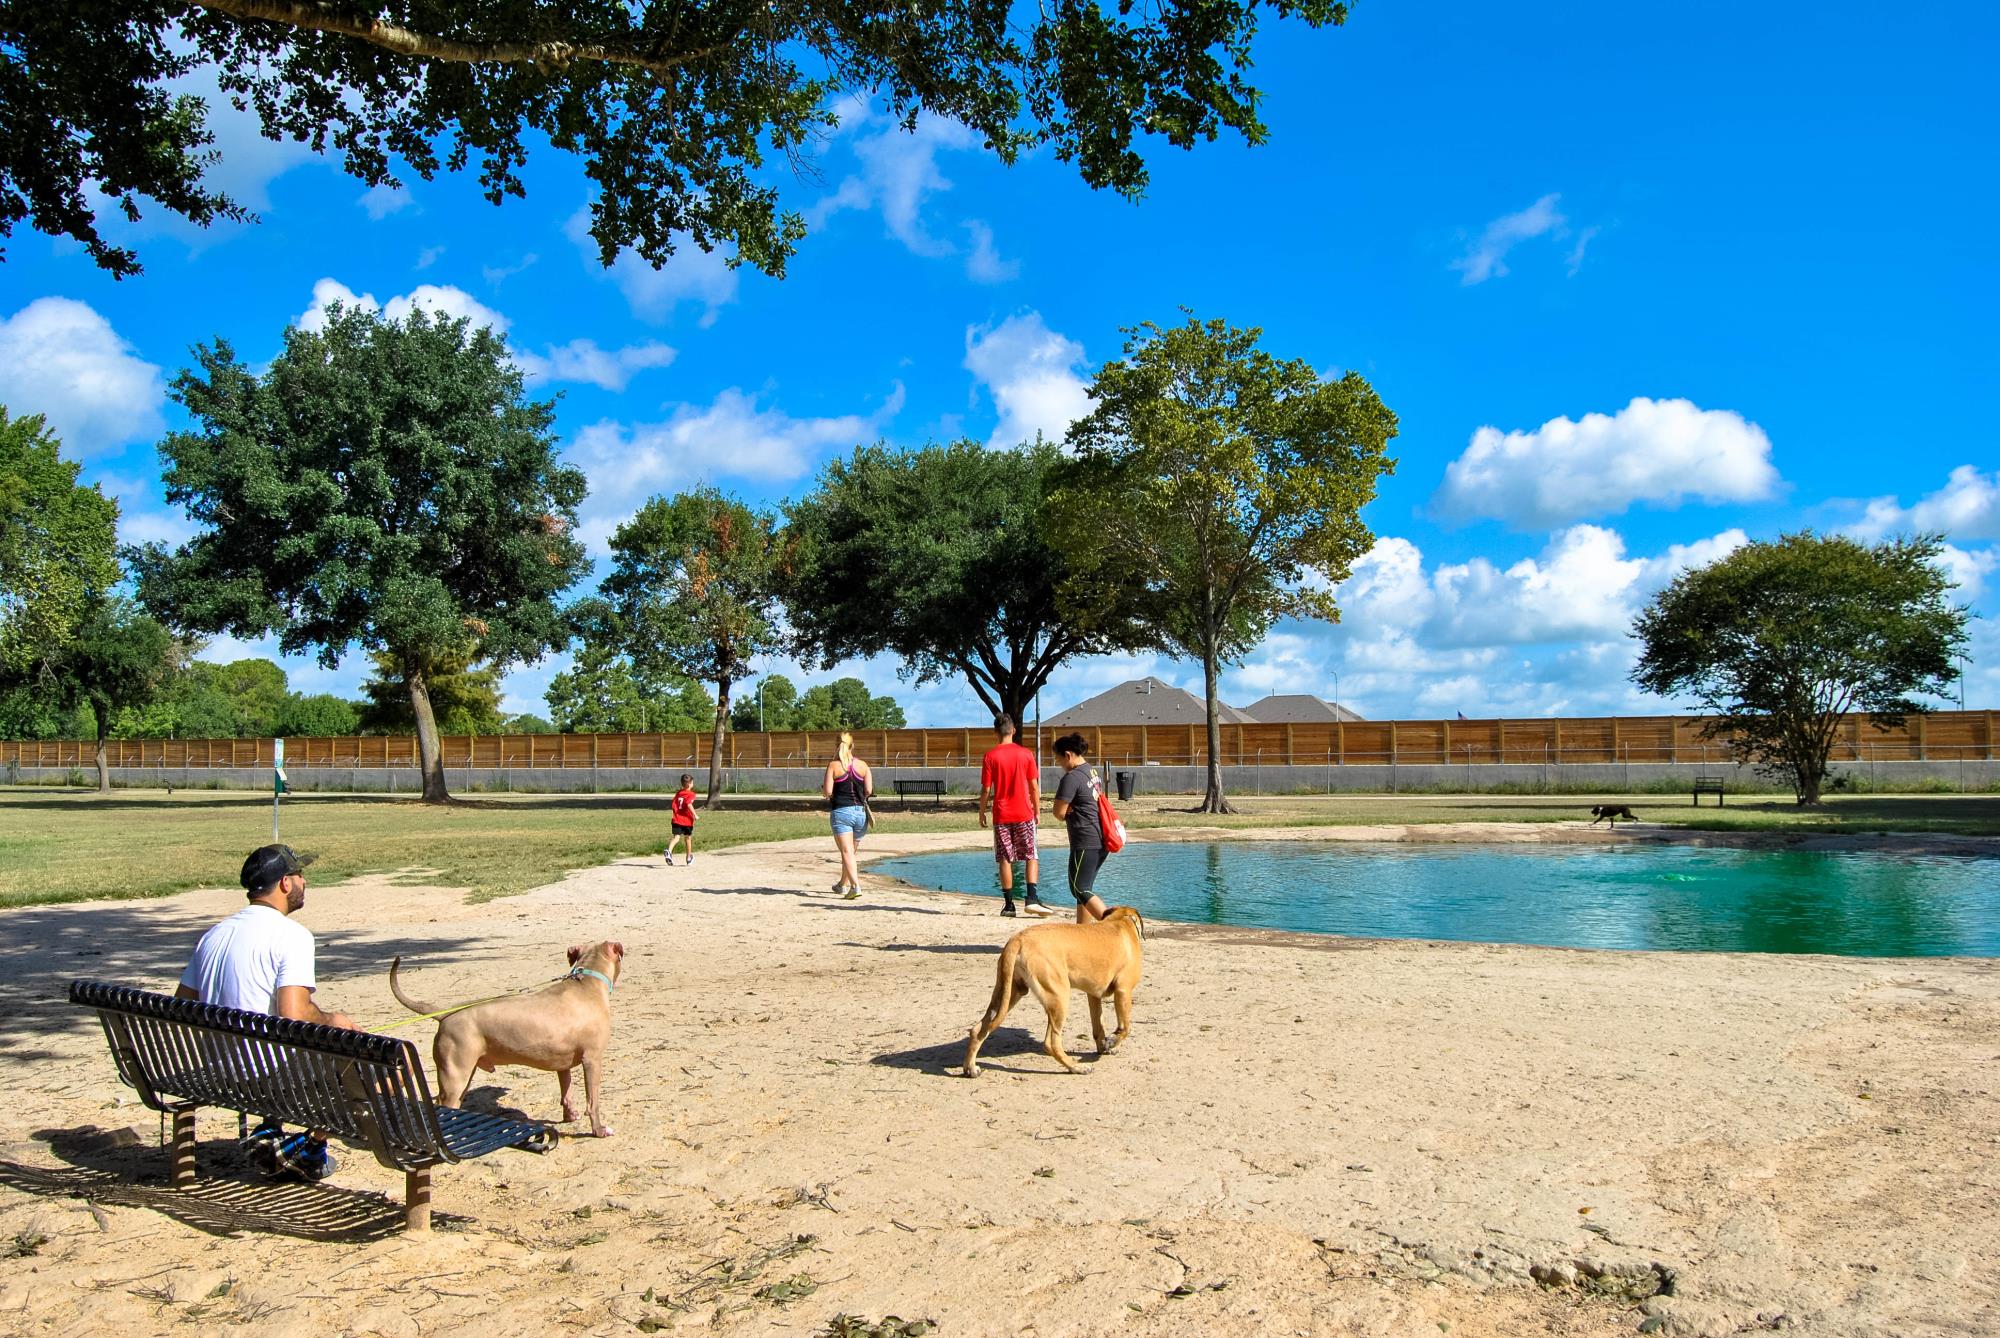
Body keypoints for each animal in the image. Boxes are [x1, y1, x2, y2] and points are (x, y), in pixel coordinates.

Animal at [390, 940, 624, 1136]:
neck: (586, 985)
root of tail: (446, 1014)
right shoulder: (592, 1060)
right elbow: (592, 1102)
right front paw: (598, 1130)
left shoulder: (562, 1063)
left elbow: (566, 1092)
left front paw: (570, 1116)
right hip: (455, 1074)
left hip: (464, 1070)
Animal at [964, 896, 1152, 1072]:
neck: (1120, 920)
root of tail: (1017, 940)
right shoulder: (1123, 990)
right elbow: (1125, 1027)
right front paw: (1112, 1041)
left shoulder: (1093, 995)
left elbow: (1099, 1027)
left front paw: (1104, 1046)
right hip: (1059, 997)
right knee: (1051, 1043)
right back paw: (1076, 1067)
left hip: (1008, 994)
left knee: (978, 1029)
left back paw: (970, 1068)